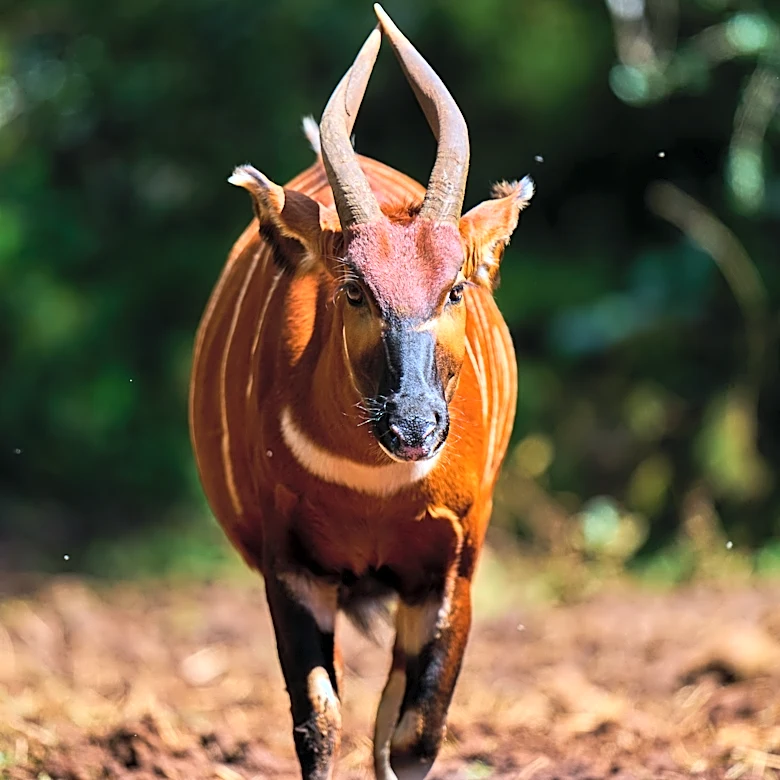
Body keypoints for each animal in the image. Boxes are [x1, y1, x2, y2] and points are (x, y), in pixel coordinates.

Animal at [189, 5, 533, 779]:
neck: (376, 482)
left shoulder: (451, 570)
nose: (413, 426)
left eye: (455, 286)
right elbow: (318, 724)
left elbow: (413, 735)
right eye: (354, 290)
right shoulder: (291, 567)